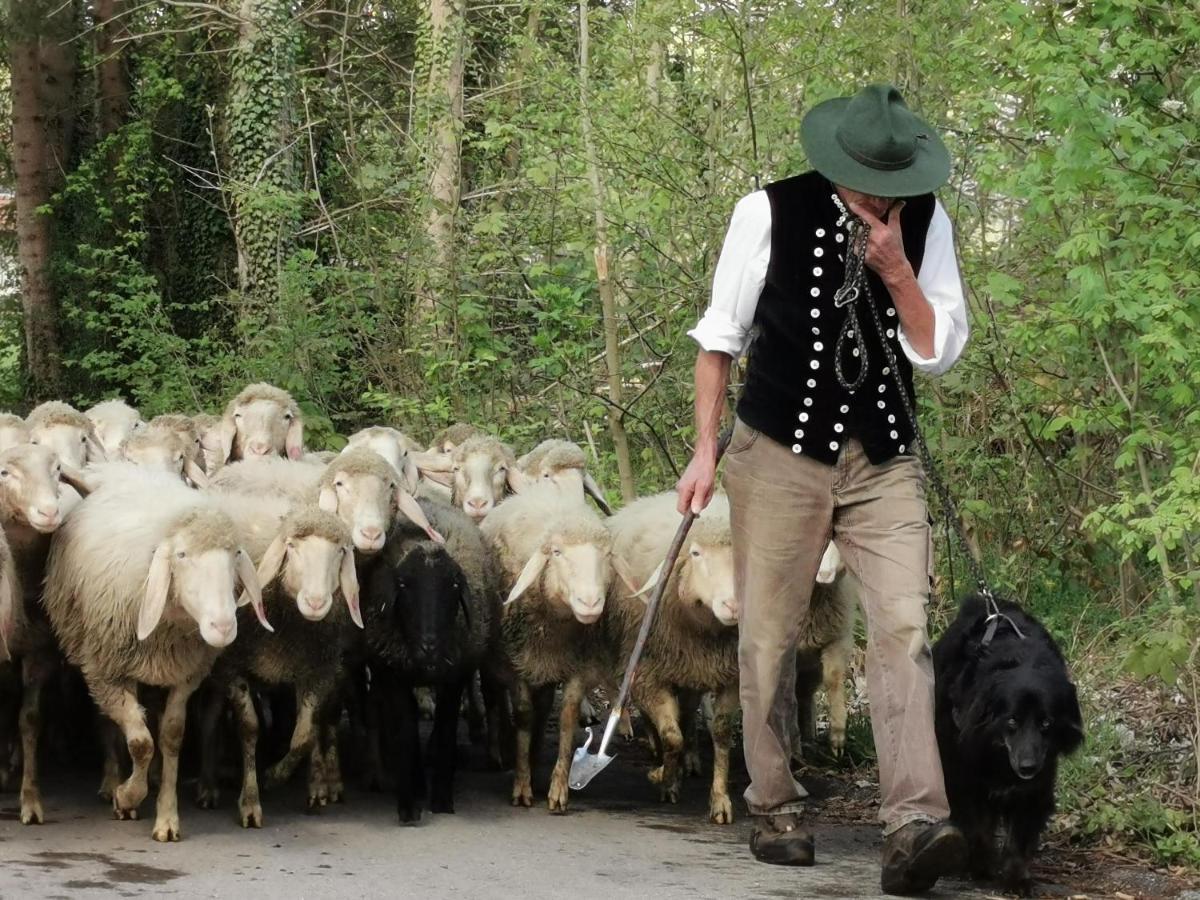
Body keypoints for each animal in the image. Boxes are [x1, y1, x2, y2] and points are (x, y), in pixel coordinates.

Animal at [43, 472, 268, 844]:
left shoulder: (184, 674)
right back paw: (113, 782)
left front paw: (166, 818)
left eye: (236, 554)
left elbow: (171, 736)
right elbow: (140, 742)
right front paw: (126, 796)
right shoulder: (108, 672)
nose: (223, 627)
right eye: (182, 554)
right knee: (109, 721)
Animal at [477, 487, 614, 816]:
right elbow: (524, 715)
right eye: (556, 553)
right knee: (495, 698)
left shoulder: (576, 666)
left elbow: (566, 718)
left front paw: (557, 789)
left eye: (606, 555)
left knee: (544, 706)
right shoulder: (516, 662)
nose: (590, 603)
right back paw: (501, 750)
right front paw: (521, 785)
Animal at [931, 595, 1084, 897]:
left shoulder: (1036, 785)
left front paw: (1016, 879)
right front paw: (982, 867)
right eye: (1012, 720)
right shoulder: (967, 776)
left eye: (1046, 723)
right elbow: (978, 826)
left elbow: (1020, 837)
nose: (1027, 767)